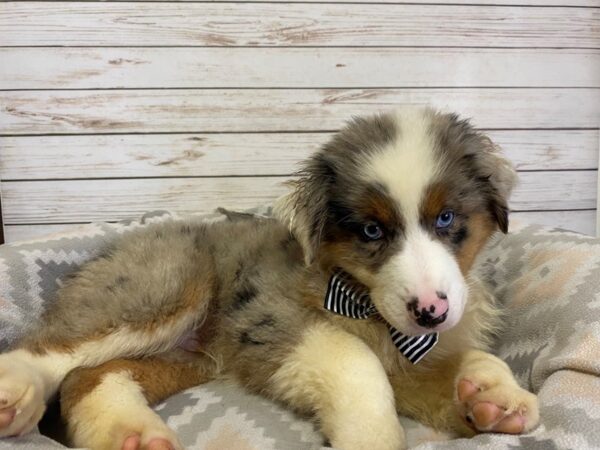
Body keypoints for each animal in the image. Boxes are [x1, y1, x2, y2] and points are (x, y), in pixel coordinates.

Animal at [0, 108, 540, 450]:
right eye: (371, 230)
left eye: (446, 219)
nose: (431, 312)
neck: (362, 299)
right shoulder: (271, 317)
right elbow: (355, 361)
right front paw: (371, 439)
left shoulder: (411, 359)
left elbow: (467, 361)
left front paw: (493, 395)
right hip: (162, 286)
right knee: (51, 348)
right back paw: (16, 392)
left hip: (190, 358)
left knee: (88, 377)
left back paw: (130, 434)